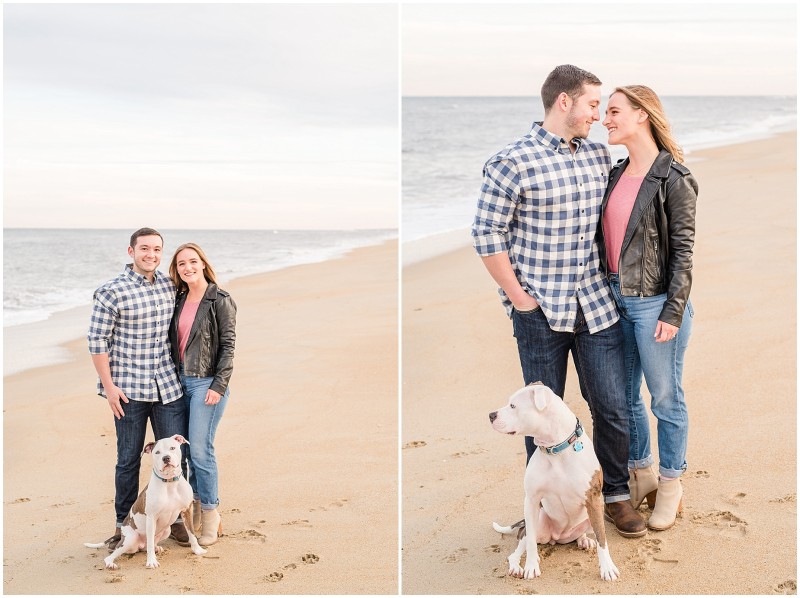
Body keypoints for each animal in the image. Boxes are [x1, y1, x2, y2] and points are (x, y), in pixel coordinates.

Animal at [488, 382, 620, 584]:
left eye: (513, 406)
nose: (491, 415)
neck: (556, 448)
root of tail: (558, 538)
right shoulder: (531, 499)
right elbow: (531, 543)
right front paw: (531, 566)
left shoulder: (593, 499)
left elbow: (602, 538)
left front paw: (607, 568)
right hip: (538, 521)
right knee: (520, 545)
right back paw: (518, 566)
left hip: (593, 514)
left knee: (585, 531)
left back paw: (583, 539)